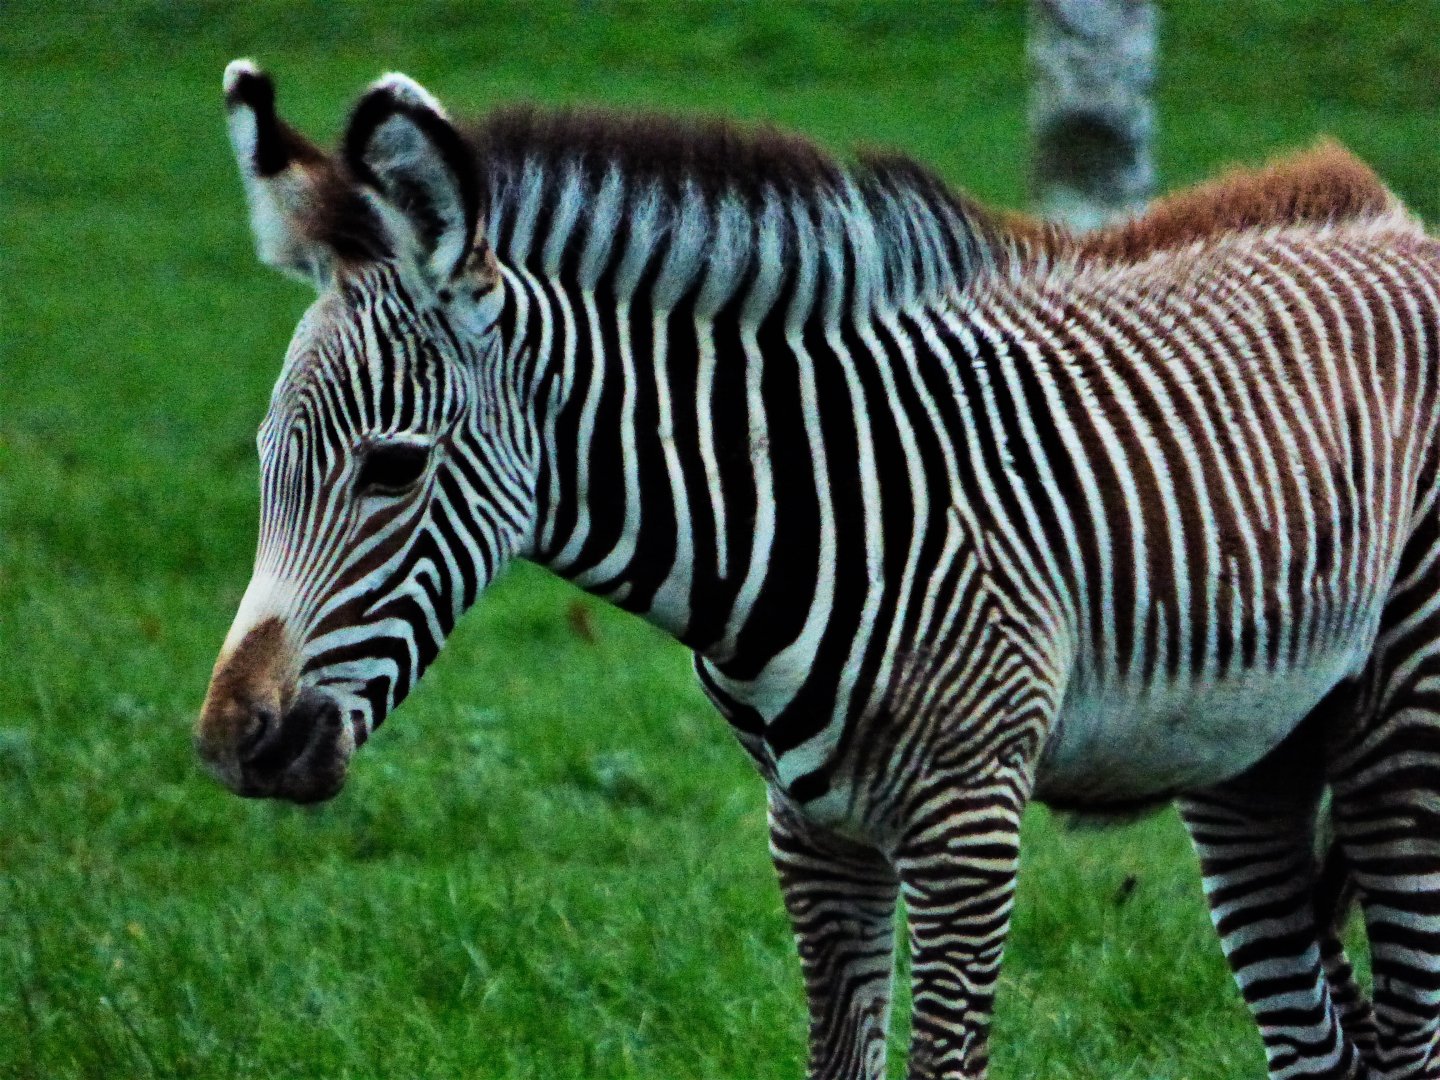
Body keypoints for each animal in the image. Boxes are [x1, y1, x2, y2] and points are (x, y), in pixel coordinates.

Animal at [194, 59, 1440, 1080]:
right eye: (264, 463)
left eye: (393, 468)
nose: (229, 743)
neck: (801, 504)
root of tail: (1406, 230)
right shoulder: (813, 832)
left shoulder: (968, 825)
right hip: (1251, 753)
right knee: (1327, 1048)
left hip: (1403, 726)